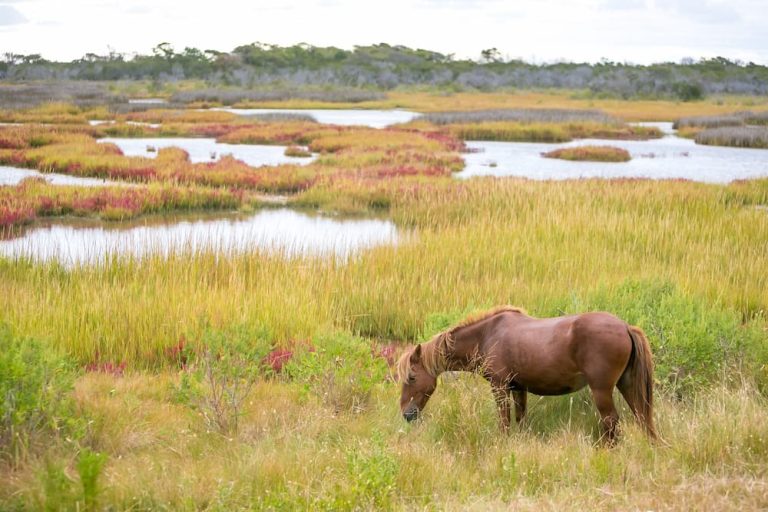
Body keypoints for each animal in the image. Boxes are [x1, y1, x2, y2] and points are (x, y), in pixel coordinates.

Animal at [400, 306, 656, 442]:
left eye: (412, 377)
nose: (406, 414)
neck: (486, 335)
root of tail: (625, 327)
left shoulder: (500, 387)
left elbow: (504, 421)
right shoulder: (518, 388)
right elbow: (520, 419)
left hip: (602, 390)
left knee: (611, 420)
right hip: (627, 384)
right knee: (641, 415)